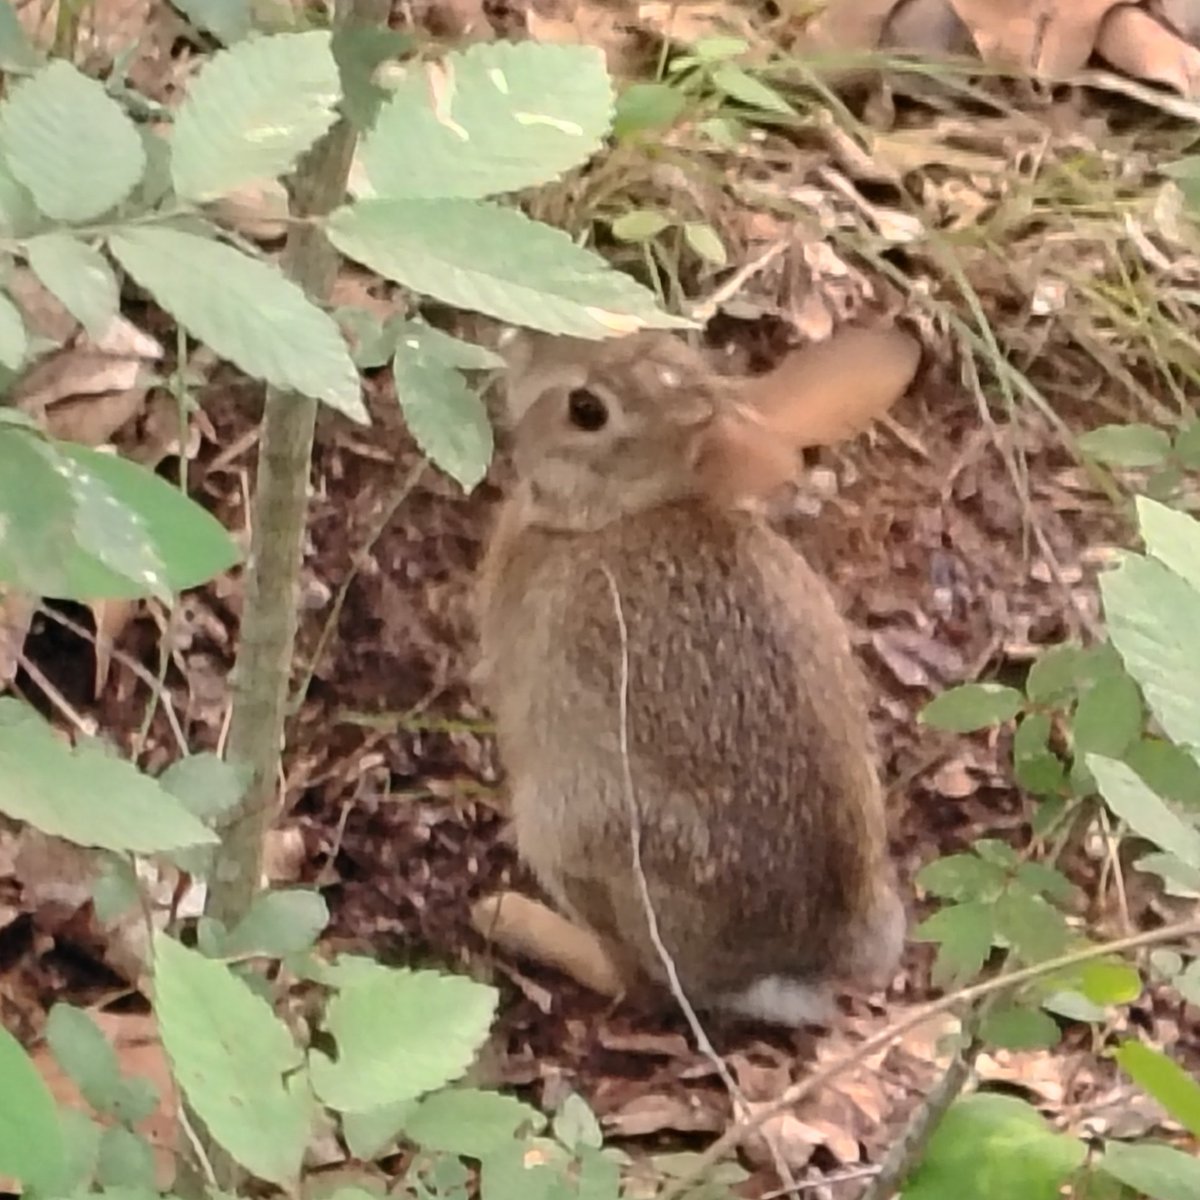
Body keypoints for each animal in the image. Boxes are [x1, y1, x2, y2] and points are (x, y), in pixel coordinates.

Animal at [473, 325, 920, 1026]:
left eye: (587, 410)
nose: (523, 339)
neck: (616, 512)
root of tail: (776, 972)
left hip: (569, 828)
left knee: (639, 983)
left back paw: (511, 918)